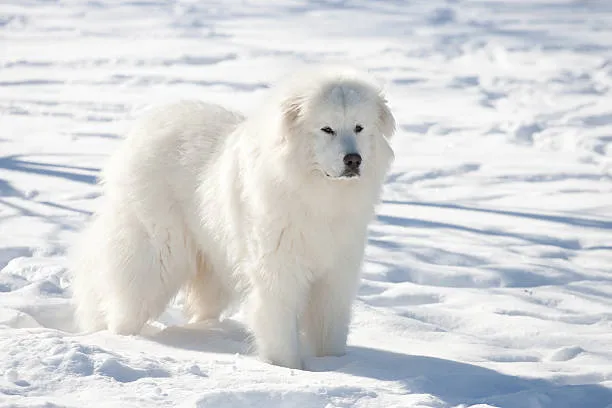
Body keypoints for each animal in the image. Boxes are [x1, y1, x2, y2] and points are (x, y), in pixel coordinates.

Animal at [71, 65, 396, 368]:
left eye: (359, 127)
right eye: (326, 129)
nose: (353, 160)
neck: (316, 194)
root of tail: (145, 127)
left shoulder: (336, 274)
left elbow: (330, 327)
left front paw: (334, 364)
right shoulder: (277, 271)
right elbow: (279, 325)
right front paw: (287, 368)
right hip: (157, 255)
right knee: (127, 301)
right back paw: (122, 340)